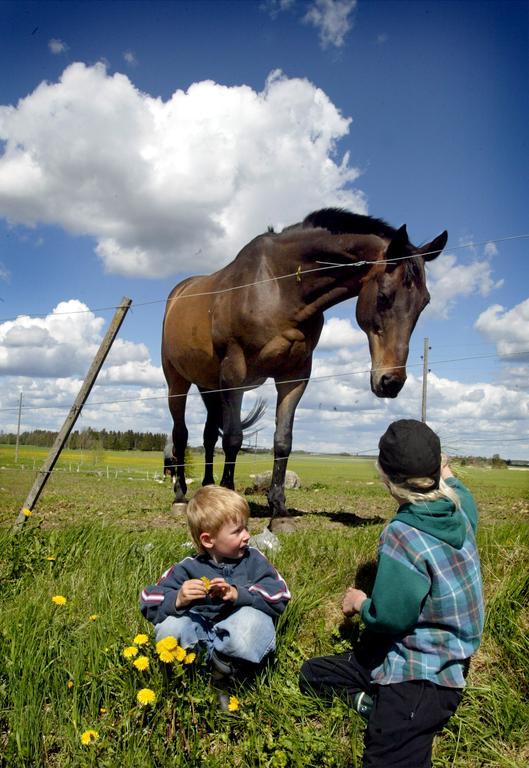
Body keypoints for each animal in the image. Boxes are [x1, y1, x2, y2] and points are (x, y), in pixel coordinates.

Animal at [161, 207, 446, 520]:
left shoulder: (294, 376)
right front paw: (230, 495)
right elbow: (234, 439)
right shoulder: (234, 374)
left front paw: (278, 508)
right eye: (384, 296)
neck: (276, 286)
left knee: (209, 435)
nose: (391, 381)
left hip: (209, 386)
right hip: (178, 381)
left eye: (424, 302)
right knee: (181, 434)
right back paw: (180, 496)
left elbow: (283, 440)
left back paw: (208, 487)